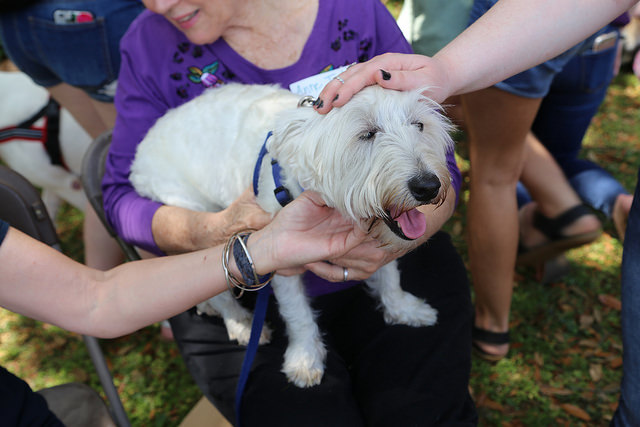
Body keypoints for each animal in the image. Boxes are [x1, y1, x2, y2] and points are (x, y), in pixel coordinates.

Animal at [129, 83, 456, 388]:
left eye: (419, 125)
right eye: (367, 134)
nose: (428, 186)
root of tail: (138, 155)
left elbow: (389, 275)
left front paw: (402, 308)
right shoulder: (279, 254)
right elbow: (297, 312)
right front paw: (305, 358)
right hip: (190, 211)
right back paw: (240, 324)